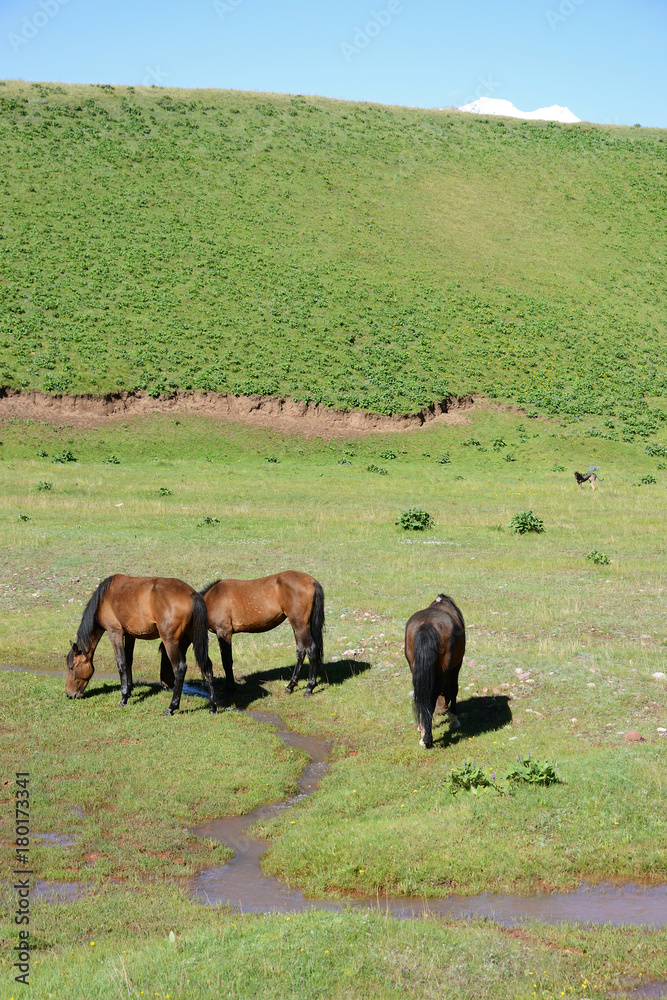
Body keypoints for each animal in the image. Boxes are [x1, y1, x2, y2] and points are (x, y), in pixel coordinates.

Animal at [65, 575, 217, 715]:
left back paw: (171, 707)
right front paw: (129, 691)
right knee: (207, 666)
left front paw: (124, 698)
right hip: (193, 636)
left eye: (71, 667)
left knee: (180, 669)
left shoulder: (115, 633)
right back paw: (213, 707)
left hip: (170, 641)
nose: (68, 694)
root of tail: (192, 594)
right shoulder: (130, 635)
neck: (104, 599)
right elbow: (128, 661)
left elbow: (121, 664)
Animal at [190, 571, 325, 697]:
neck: (213, 598)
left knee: (312, 650)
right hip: (297, 627)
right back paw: (290, 686)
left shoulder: (224, 632)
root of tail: (312, 581)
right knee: (301, 652)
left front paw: (230, 688)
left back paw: (309, 688)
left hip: (301, 626)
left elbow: (227, 661)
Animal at [404, 593, 465, 748]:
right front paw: (454, 720)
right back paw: (427, 738)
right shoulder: (456, 665)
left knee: (422, 697)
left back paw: (422, 729)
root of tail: (427, 625)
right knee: (431, 699)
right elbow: (453, 689)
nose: (442, 709)